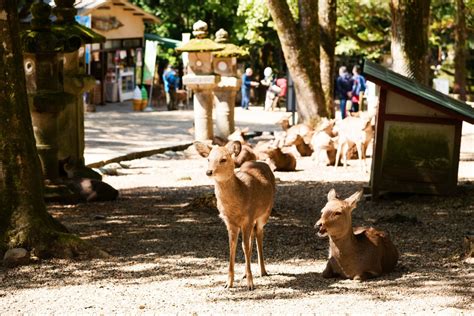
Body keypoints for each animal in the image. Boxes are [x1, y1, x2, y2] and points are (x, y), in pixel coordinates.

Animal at [194, 142, 276, 290]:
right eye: (208, 159)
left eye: (223, 159)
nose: (209, 172)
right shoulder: (229, 222)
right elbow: (232, 246)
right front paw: (228, 283)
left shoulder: (248, 217)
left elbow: (245, 246)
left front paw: (250, 284)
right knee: (252, 237)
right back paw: (244, 274)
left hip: (265, 213)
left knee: (259, 235)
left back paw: (263, 271)